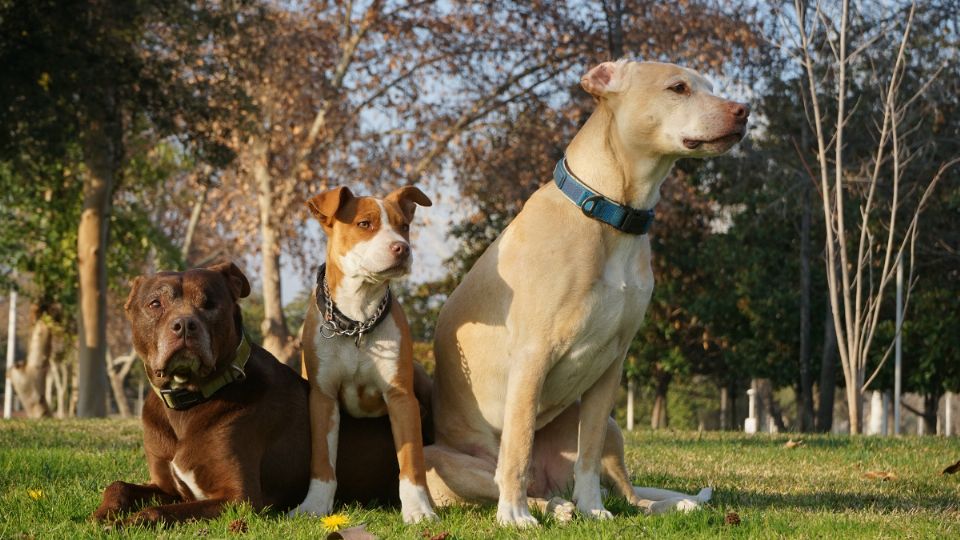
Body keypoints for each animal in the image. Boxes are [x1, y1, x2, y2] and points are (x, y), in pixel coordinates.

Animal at [290, 185, 436, 524]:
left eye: (404, 226)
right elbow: (322, 459)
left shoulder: (401, 397)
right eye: (364, 224)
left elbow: (411, 459)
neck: (357, 320)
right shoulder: (322, 397)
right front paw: (314, 505)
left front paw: (418, 509)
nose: (402, 248)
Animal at [424, 60, 748, 528]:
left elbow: (589, 456)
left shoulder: (611, 366)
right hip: (444, 462)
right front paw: (514, 514)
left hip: (612, 426)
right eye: (678, 88)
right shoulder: (532, 357)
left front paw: (593, 508)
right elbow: (517, 449)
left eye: (711, 86)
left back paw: (659, 504)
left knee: (631, 495)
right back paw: (545, 507)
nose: (743, 111)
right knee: (509, 476)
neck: (610, 215)